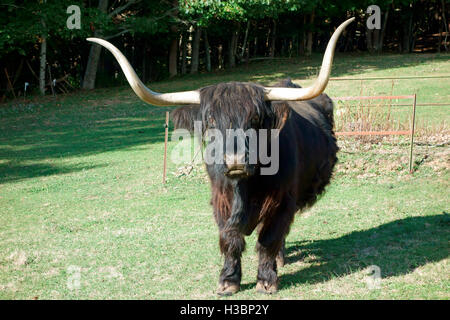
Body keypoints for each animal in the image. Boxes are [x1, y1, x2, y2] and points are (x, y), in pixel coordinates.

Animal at [88, 17, 354, 294]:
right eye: (211, 120)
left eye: (255, 119)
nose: (236, 161)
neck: (245, 188)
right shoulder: (221, 200)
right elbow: (230, 239)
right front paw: (228, 280)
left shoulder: (282, 201)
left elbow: (269, 238)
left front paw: (266, 281)